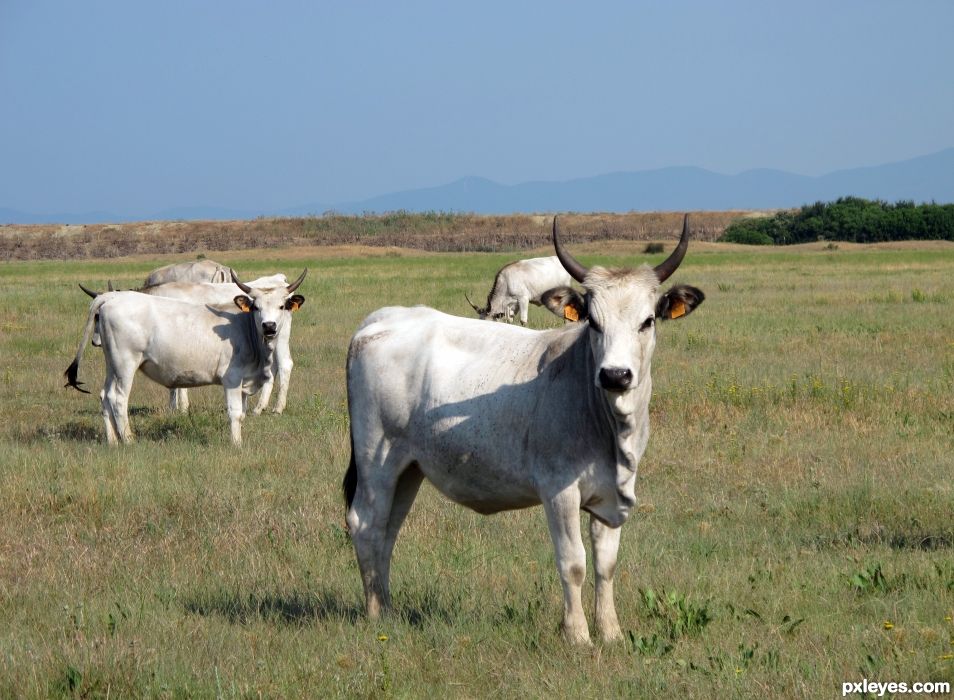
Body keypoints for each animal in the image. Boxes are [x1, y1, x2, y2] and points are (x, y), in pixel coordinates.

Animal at [64, 270, 304, 446]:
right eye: (256, 307)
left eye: (281, 306)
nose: (269, 326)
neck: (244, 329)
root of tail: (111, 299)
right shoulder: (232, 379)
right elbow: (235, 413)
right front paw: (236, 444)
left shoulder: (245, 380)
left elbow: (242, 414)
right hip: (125, 364)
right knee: (118, 398)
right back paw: (129, 440)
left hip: (112, 364)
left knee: (104, 396)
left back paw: (113, 441)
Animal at [346, 215, 704, 644]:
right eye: (593, 322)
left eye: (647, 321)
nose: (615, 375)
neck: (609, 426)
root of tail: (380, 319)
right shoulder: (559, 491)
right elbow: (573, 563)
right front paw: (578, 635)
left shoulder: (611, 496)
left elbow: (606, 564)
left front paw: (611, 633)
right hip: (376, 460)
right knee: (367, 524)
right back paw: (374, 613)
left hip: (408, 468)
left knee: (388, 529)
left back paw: (387, 609)